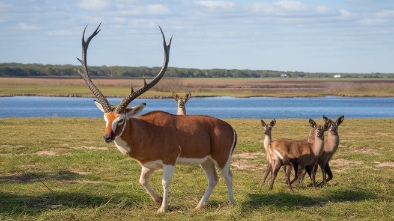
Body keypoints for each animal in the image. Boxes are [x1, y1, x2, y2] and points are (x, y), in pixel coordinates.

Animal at [77, 23, 237, 212]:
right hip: (205, 161)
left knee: (228, 176)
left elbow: (165, 182)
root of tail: (230, 128)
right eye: (105, 119)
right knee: (213, 179)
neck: (149, 131)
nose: (107, 137)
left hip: (222, 159)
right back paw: (199, 206)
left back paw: (232, 203)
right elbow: (142, 181)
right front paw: (158, 200)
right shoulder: (148, 165)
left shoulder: (169, 162)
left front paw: (163, 208)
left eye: (121, 119)